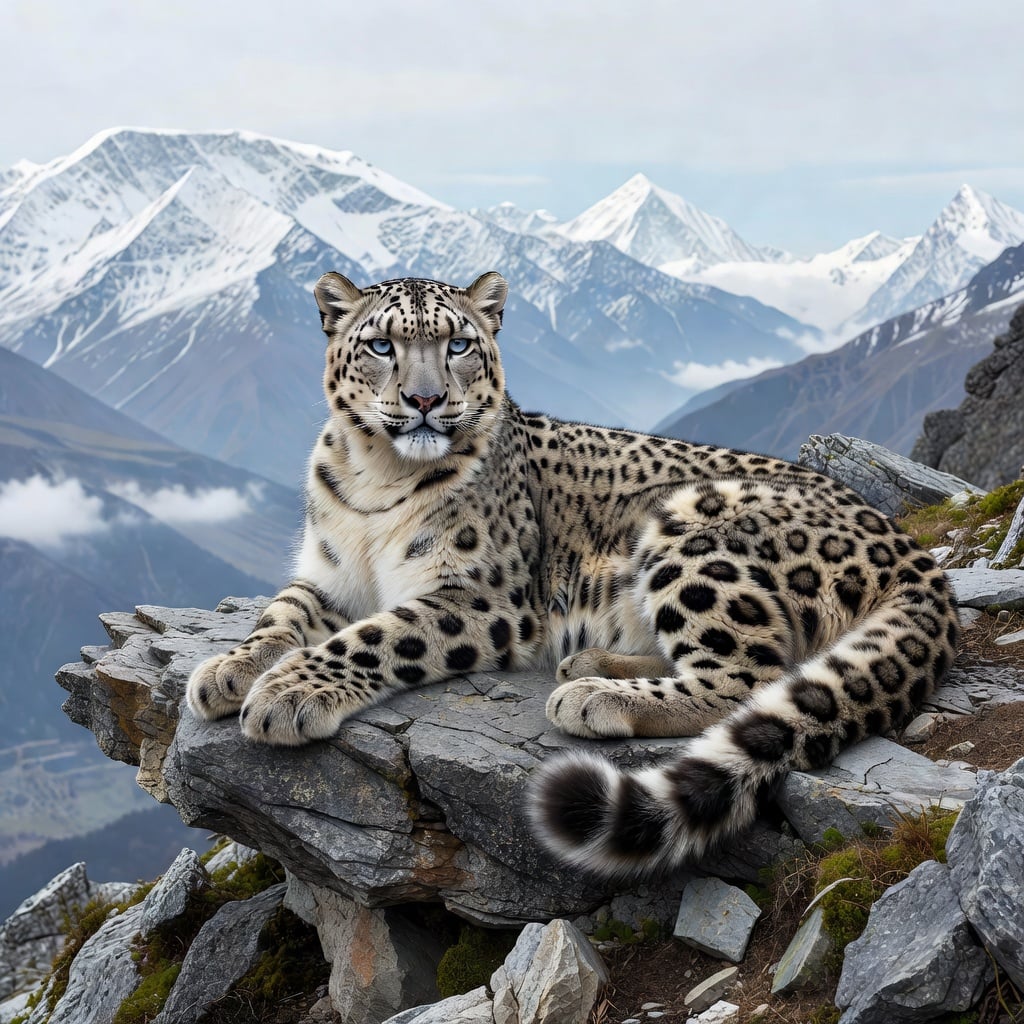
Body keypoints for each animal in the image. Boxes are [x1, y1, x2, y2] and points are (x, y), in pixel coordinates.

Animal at [186, 271, 959, 878]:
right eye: (381, 346)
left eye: (458, 344)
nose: (427, 401)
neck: (376, 479)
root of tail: (911, 550)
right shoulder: (328, 575)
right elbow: (280, 616)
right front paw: (227, 671)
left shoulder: (479, 596)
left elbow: (373, 636)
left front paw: (285, 692)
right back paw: (591, 662)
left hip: (693, 531)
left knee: (750, 676)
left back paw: (591, 696)